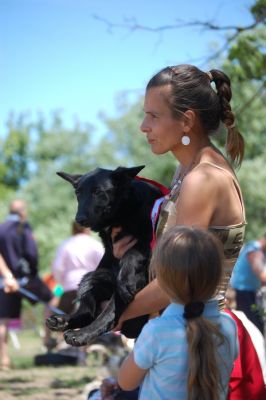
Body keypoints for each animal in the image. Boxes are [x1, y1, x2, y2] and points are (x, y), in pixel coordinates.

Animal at [46, 166, 165, 346]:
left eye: (98, 192)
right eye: (78, 193)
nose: (79, 219)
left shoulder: (147, 241)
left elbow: (131, 253)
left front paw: (125, 276)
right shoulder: (108, 254)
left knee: (108, 312)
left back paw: (82, 334)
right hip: (94, 277)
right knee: (88, 307)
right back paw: (63, 321)